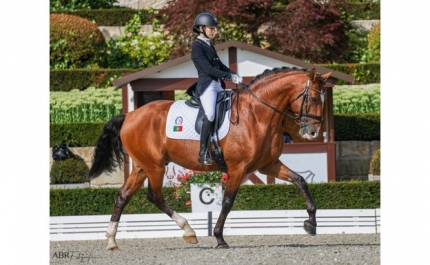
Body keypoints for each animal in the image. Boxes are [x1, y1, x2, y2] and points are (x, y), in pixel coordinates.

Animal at [86, 66, 330, 250]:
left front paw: (311, 223)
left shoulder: (268, 165)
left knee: (123, 196)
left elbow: (300, 181)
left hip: (142, 166)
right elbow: (228, 202)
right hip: (155, 166)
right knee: (154, 196)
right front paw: (220, 238)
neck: (256, 114)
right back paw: (189, 231)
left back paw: (111, 241)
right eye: (313, 97)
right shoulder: (238, 168)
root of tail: (129, 115)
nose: (313, 132)